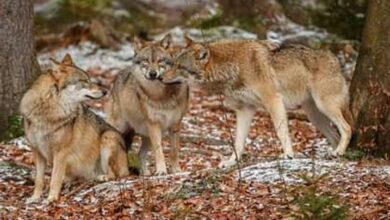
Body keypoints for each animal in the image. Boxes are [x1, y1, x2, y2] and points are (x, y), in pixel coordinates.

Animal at [20, 53, 128, 203]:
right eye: (84, 80)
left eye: (89, 79)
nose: (105, 91)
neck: (49, 111)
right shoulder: (37, 152)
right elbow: (39, 180)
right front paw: (35, 198)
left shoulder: (61, 152)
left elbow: (54, 178)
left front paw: (51, 199)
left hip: (108, 137)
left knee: (116, 175)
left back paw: (102, 177)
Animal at [103, 34, 189, 175]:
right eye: (146, 61)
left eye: (160, 61)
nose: (153, 74)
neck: (161, 94)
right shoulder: (154, 124)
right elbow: (159, 150)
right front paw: (161, 171)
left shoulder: (175, 125)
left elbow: (174, 150)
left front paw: (176, 170)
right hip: (118, 129)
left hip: (145, 135)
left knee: (140, 154)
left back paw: (145, 173)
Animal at [161, 37, 354, 168]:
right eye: (173, 63)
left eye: (180, 67)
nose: (160, 77)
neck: (232, 67)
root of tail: (336, 60)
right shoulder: (245, 110)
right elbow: (238, 142)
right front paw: (231, 162)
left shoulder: (273, 100)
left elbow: (281, 131)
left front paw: (288, 155)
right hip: (315, 116)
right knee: (335, 136)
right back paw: (335, 155)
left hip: (324, 106)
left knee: (347, 128)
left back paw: (338, 151)